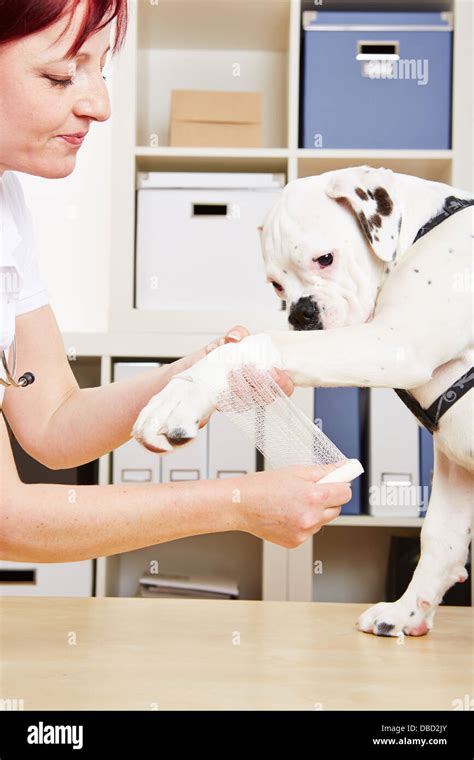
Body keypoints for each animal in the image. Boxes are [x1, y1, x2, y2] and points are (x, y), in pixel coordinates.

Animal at [131, 166, 472, 636]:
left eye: (324, 259)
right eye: (276, 284)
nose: (299, 313)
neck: (422, 230)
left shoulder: (395, 344)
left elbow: (260, 343)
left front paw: (185, 390)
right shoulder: (454, 465)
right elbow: (440, 539)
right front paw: (407, 613)